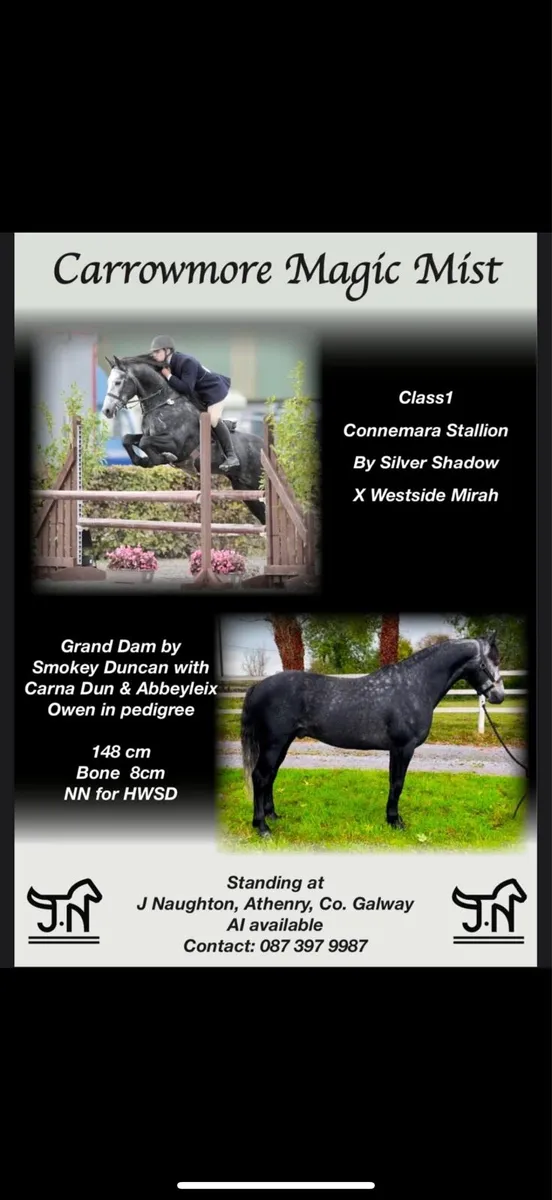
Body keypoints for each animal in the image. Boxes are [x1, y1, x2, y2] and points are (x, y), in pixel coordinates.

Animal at [101, 354, 266, 524]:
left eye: (118, 382)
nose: (106, 410)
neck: (164, 403)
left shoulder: (177, 445)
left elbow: (145, 442)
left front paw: (164, 458)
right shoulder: (151, 435)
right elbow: (128, 439)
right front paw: (143, 461)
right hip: (246, 491)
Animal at [240, 632, 506, 838]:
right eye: (490, 661)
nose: (499, 696)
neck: (413, 685)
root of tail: (258, 686)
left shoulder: (397, 749)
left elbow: (394, 783)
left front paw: (391, 819)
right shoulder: (403, 747)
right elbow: (397, 783)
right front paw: (395, 821)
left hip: (282, 743)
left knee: (270, 776)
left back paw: (273, 816)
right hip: (274, 743)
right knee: (260, 777)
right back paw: (262, 827)